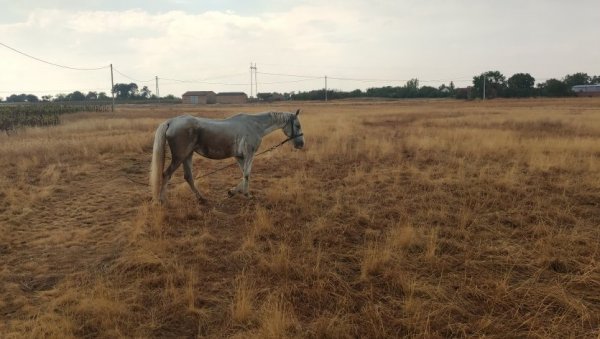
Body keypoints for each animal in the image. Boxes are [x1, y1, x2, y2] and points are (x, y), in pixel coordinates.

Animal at [150, 110, 304, 203]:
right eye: (297, 125)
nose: (301, 144)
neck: (254, 126)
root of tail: (171, 122)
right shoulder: (249, 154)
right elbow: (247, 174)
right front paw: (246, 194)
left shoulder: (239, 157)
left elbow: (244, 174)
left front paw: (233, 192)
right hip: (180, 156)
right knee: (166, 174)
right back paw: (161, 200)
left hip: (187, 155)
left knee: (188, 177)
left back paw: (201, 198)